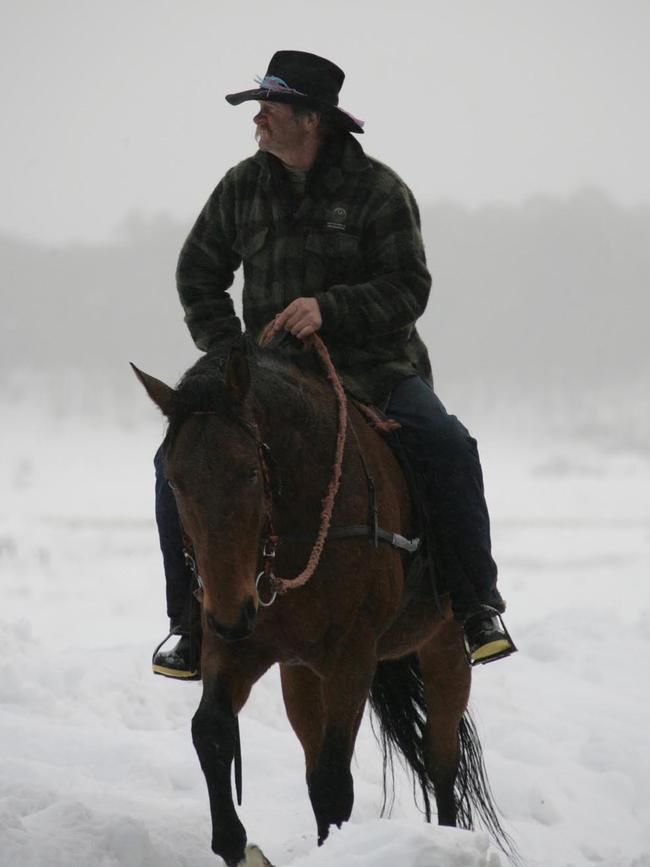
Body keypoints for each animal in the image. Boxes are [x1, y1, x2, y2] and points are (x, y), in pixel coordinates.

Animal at [133, 340, 516, 867]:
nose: (231, 614)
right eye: (173, 481)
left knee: (441, 763)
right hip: (298, 672)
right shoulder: (234, 647)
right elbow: (211, 731)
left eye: (249, 472)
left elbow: (336, 779)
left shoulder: (351, 655)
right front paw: (238, 846)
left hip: (443, 648)